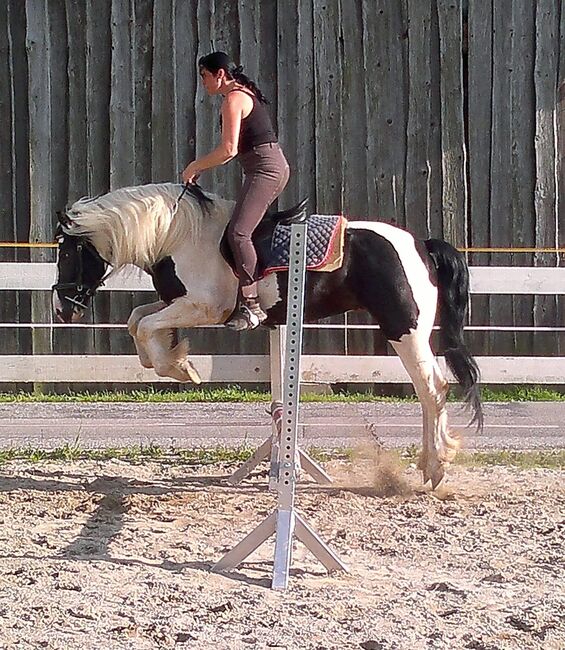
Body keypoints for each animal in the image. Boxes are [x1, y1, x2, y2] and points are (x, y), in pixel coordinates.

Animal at [53, 182, 482, 486]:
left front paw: (181, 368)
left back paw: (434, 466)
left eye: (68, 253)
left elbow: (143, 325)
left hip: (403, 329)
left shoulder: (204, 308)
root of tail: (421, 246)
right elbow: (137, 320)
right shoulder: (177, 302)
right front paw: (172, 354)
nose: (62, 308)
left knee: (432, 388)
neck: (179, 234)